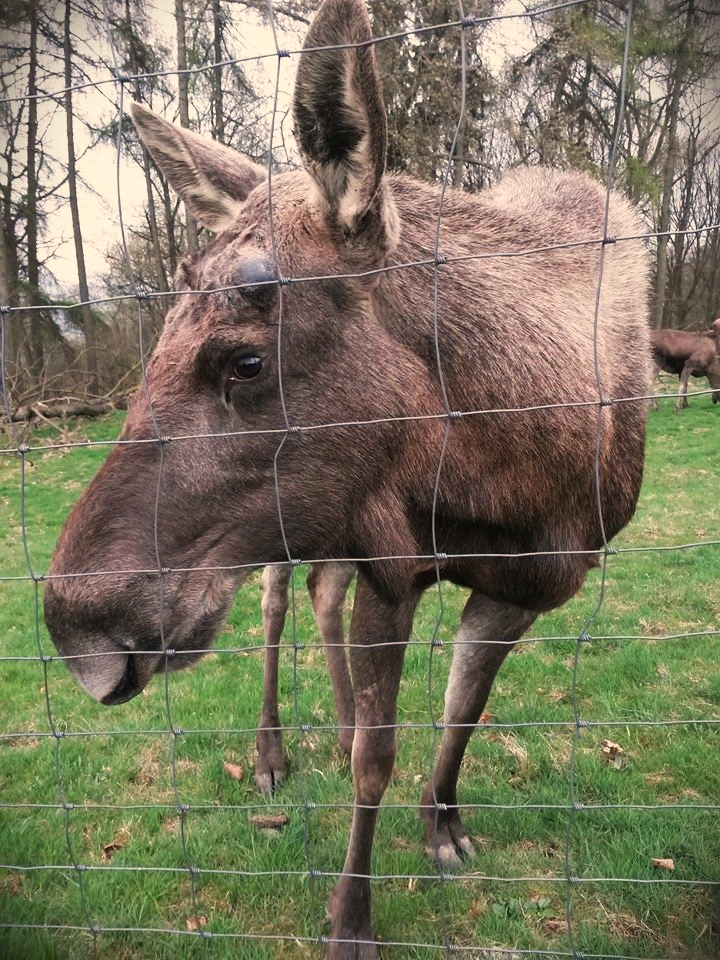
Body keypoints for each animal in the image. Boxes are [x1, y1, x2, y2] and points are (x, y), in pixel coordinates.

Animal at [45, 3, 652, 956]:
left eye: (245, 359)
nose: (76, 632)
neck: (500, 480)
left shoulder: (525, 581)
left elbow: (459, 710)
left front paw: (442, 822)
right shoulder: (392, 562)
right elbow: (379, 752)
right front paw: (351, 920)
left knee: (320, 599)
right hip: (296, 526)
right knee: (277, 605)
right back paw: (273, 753)